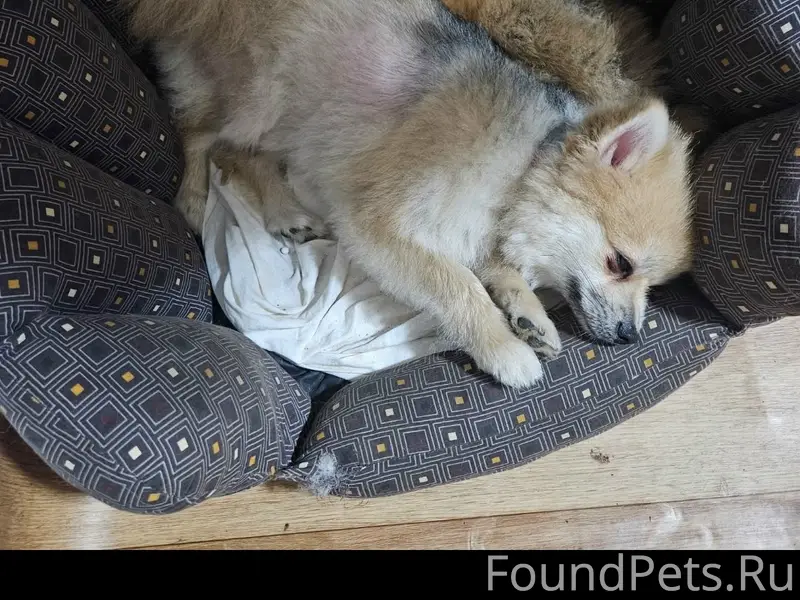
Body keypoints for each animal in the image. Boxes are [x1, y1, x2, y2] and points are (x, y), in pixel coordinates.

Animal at [120, 0, 694, 389]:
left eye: (650, 284)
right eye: (620, 263)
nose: (631, 337)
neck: (521, 167)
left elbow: (493, 269)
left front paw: (529, 314)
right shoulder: (377, 225)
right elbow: (457, 285)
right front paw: (505, 350)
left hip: (294, 122)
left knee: (246, 155)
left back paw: (286, 211)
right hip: (261, 96)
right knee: (204, 136)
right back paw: (196, 198)